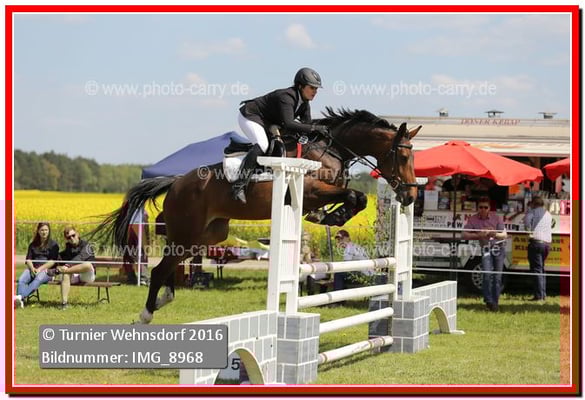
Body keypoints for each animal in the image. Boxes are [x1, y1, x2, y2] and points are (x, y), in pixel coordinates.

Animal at [91, 108, 421, 324]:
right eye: (404, 155)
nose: (410, 196)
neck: (331, 150)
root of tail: (175, 182)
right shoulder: (311, 190)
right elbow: (354, 196)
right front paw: (332, 216)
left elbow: (356, 198)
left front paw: (331, 217)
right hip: (187, 231)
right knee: (161, 270)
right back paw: (146, 314)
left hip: (207, 235)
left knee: (169, 266)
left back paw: (161, 301)